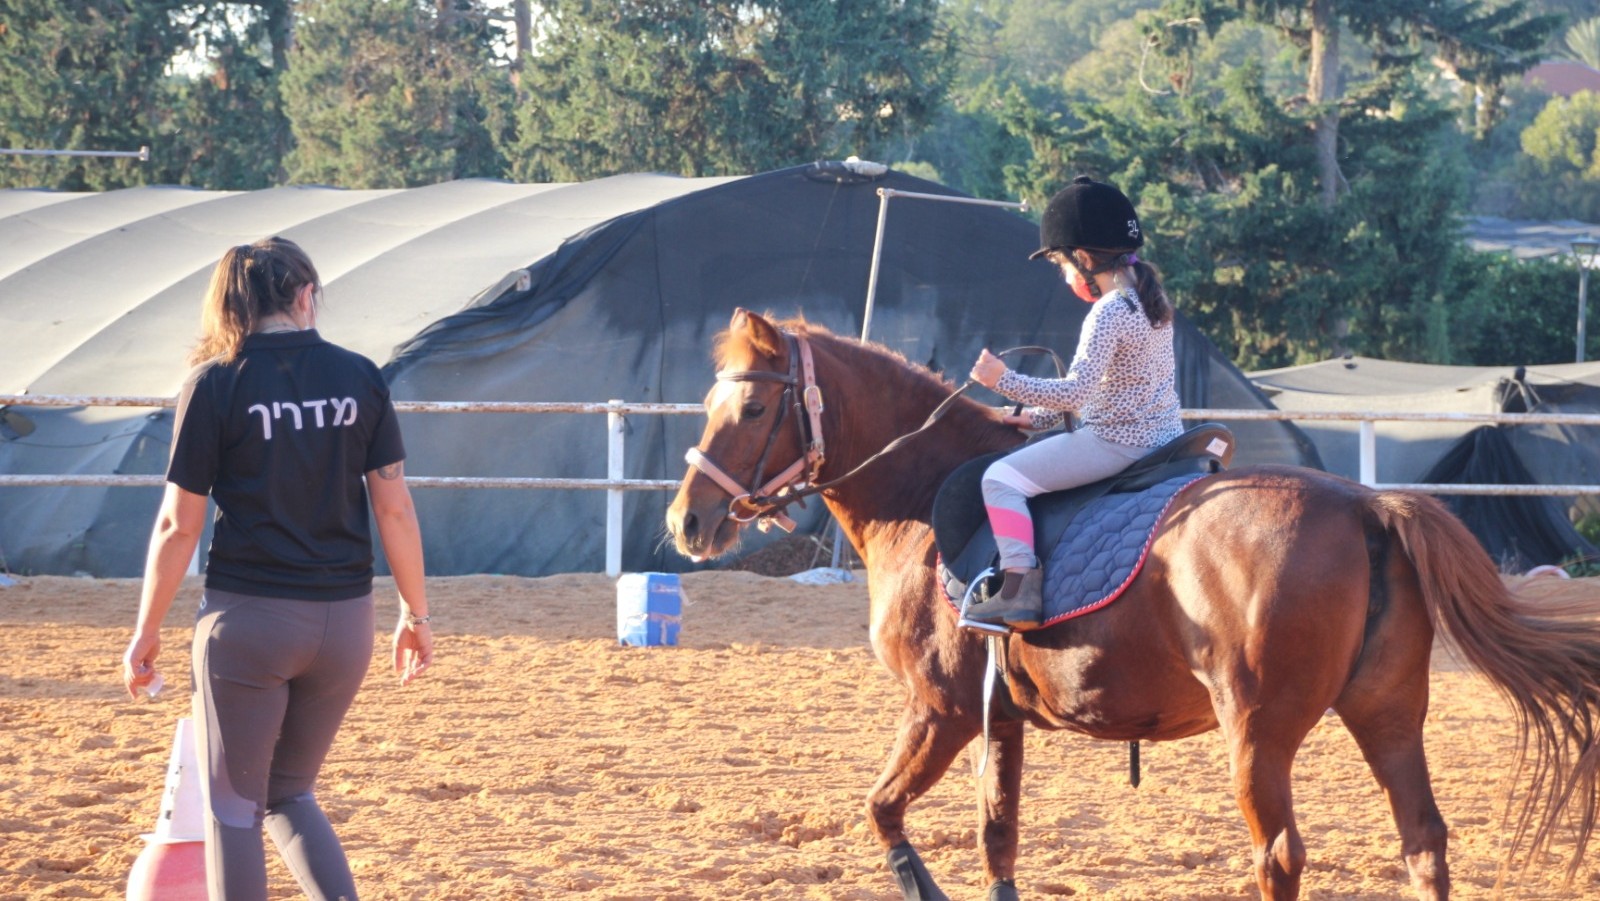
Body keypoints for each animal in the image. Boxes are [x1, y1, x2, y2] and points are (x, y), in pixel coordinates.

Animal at [659, 310, 1600, 901]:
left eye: (752, 405)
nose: (686, 520)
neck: (923, 494)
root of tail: (1366, 504)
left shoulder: (941, 708)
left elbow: (883, 810)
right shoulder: (998, 718)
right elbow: (997, 837)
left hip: (1258, 733)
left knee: (1279, 855)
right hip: (1388, 713)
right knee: (1424, 841)